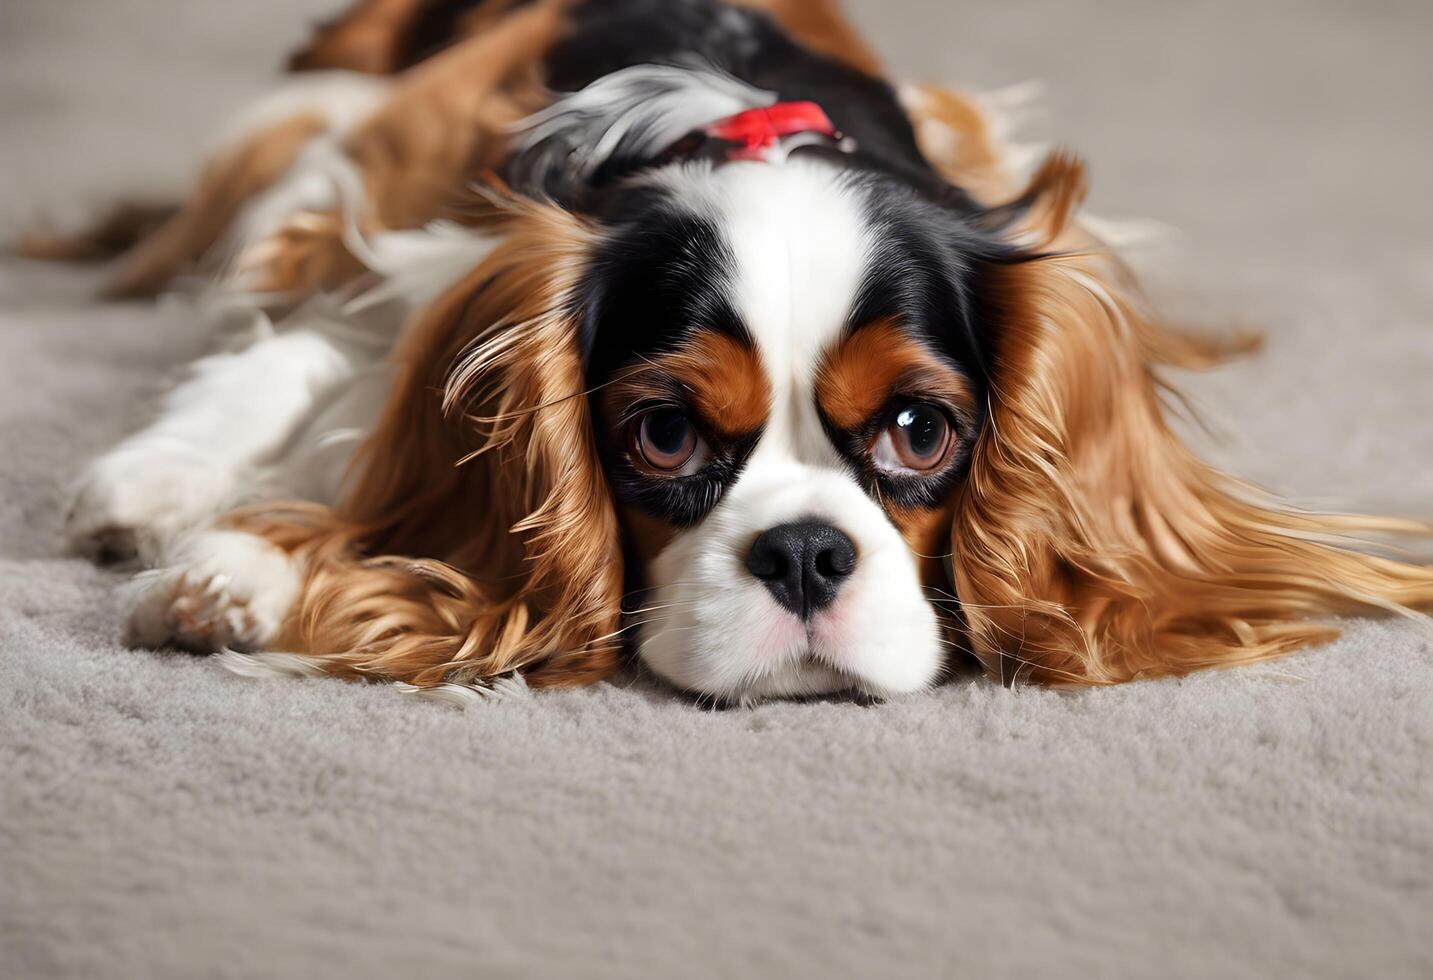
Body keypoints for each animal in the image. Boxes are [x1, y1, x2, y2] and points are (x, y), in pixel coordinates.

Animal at [22, 0, 1433, 704]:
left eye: (918, 429)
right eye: (663, 433)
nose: (804, 552)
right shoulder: (456, 265)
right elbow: (332, 384)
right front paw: (248, 558)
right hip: (343, 160)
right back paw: (153, 479)